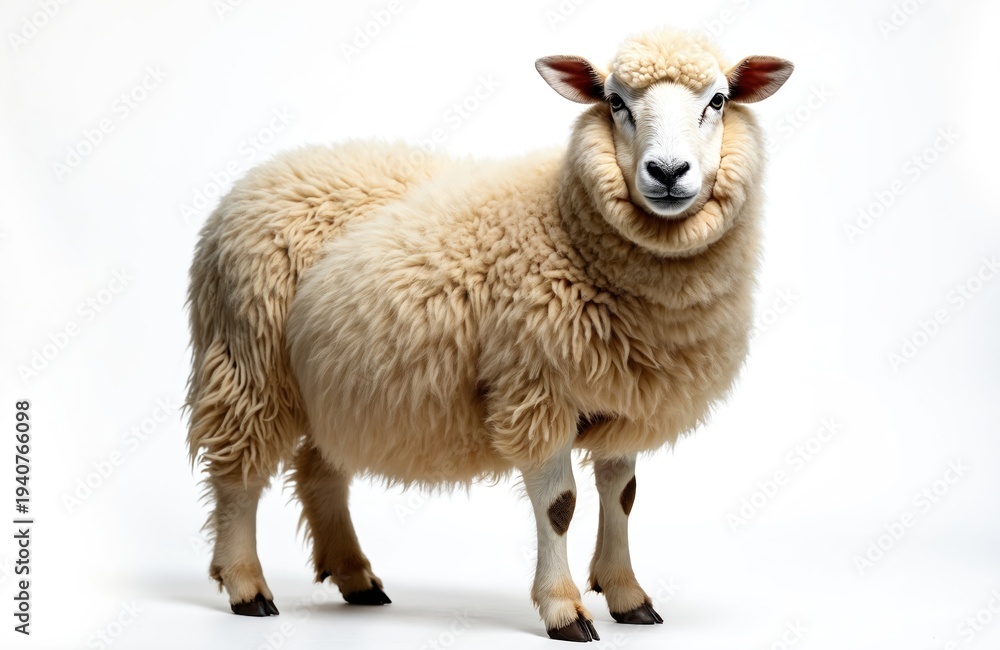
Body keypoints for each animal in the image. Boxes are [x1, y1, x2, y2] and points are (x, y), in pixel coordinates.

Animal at [186, 26, 793, 642]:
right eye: (615, 101)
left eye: (718, 100)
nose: (668, 172)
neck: (565, 222)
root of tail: (265, 173)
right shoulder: (536, 390)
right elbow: (560, 505)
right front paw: (564, 609)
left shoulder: (624, 397)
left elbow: (621, 497)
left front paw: (626, 595)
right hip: (248, 357)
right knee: (237, 474)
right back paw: (245, 584)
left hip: (340, 383)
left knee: (319, 470)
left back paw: (355, 576)